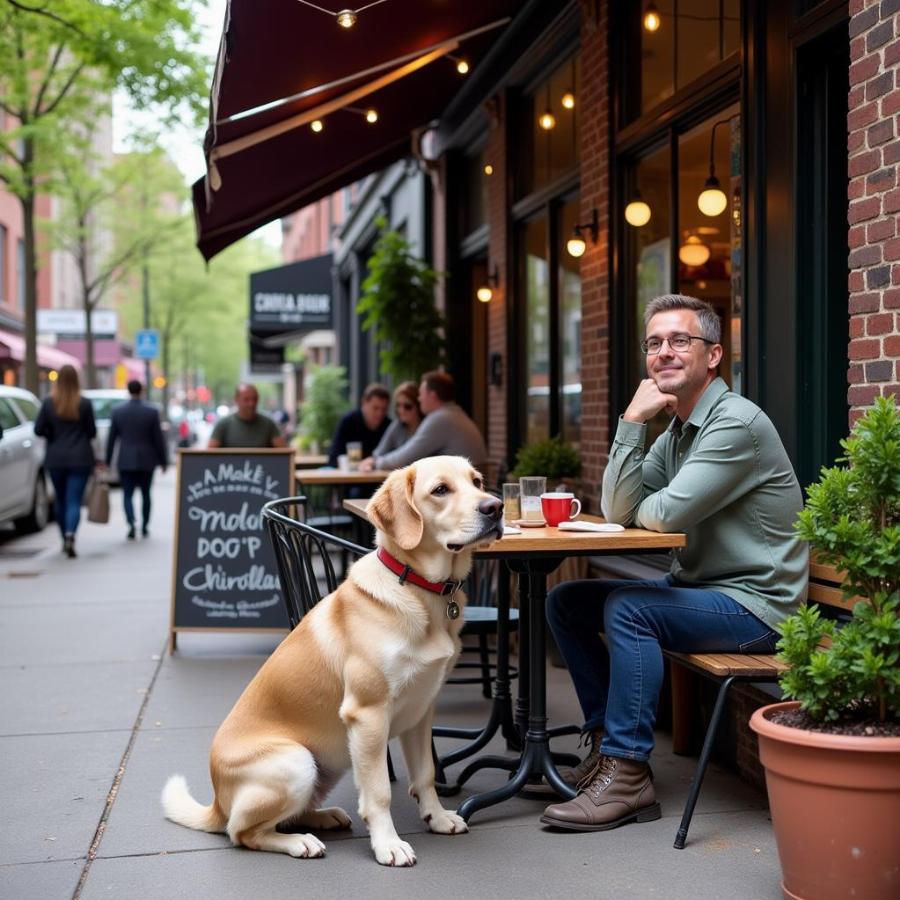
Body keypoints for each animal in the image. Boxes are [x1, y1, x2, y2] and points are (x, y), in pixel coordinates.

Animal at [160, 458, 500, 864]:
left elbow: (426, 774)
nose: (495, 507)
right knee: (242, 832)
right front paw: (388, 844)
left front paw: (438, 817)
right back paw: (299, 842)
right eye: (440, 490)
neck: (420, 591)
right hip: (298, 762)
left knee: (285, 816)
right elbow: (380, 793)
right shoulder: (367, 715)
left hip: (328, 762)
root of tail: (216, 801)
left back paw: (323, 817)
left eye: (477, 481)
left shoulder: (422, 710)